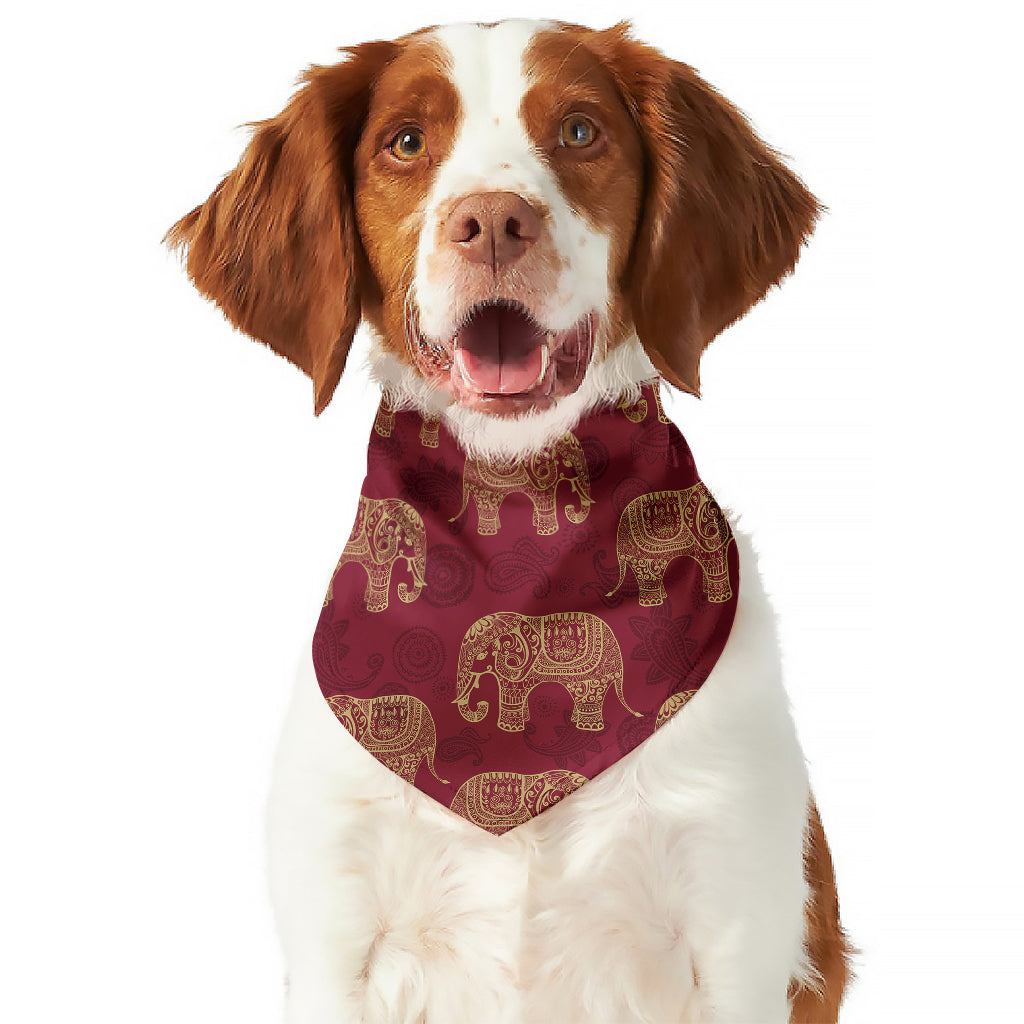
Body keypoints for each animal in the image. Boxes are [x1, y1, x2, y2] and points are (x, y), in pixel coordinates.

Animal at [450, 432, 593, 536]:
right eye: (568, 463)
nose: (569, 507)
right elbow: (545, 500)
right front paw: (548, 532)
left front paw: (537, 524)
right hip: (483, 488)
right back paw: (488, 533)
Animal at [453, 611, 640, 733]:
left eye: (481, 655)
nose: (482, 704)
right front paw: (523, 721)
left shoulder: (519, 669)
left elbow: (513, 693)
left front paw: (509, 728)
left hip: (595, 676)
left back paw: (588, 727)